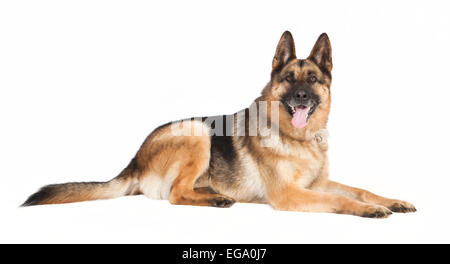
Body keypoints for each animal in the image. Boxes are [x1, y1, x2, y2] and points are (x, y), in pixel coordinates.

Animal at [22, 31, 416, 217]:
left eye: (312, 80)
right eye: (288, 79)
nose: (302, 97)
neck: (299, 140)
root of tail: (135, 159)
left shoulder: (318, 183)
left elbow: (360, 189)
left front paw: (391, 201)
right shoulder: (291, 194)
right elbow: (339, 200)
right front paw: (370, 211)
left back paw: (215, 193)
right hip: (198, 132)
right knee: (175, 195)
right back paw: (216, 200)